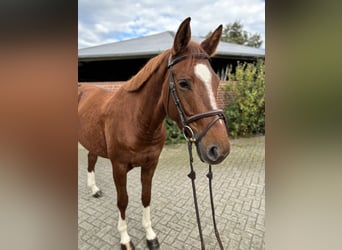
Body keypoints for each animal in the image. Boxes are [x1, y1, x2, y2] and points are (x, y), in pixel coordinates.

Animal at [78, 16, 230, 249]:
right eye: (183, 83)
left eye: (216, 81)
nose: (219, 149)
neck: (137, 121)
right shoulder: (118, 167)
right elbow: (123, 201)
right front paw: (125, 238)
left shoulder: (150, 165)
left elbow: (145, 197)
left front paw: (150, 235)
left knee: (91, 159)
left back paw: (94, 189)